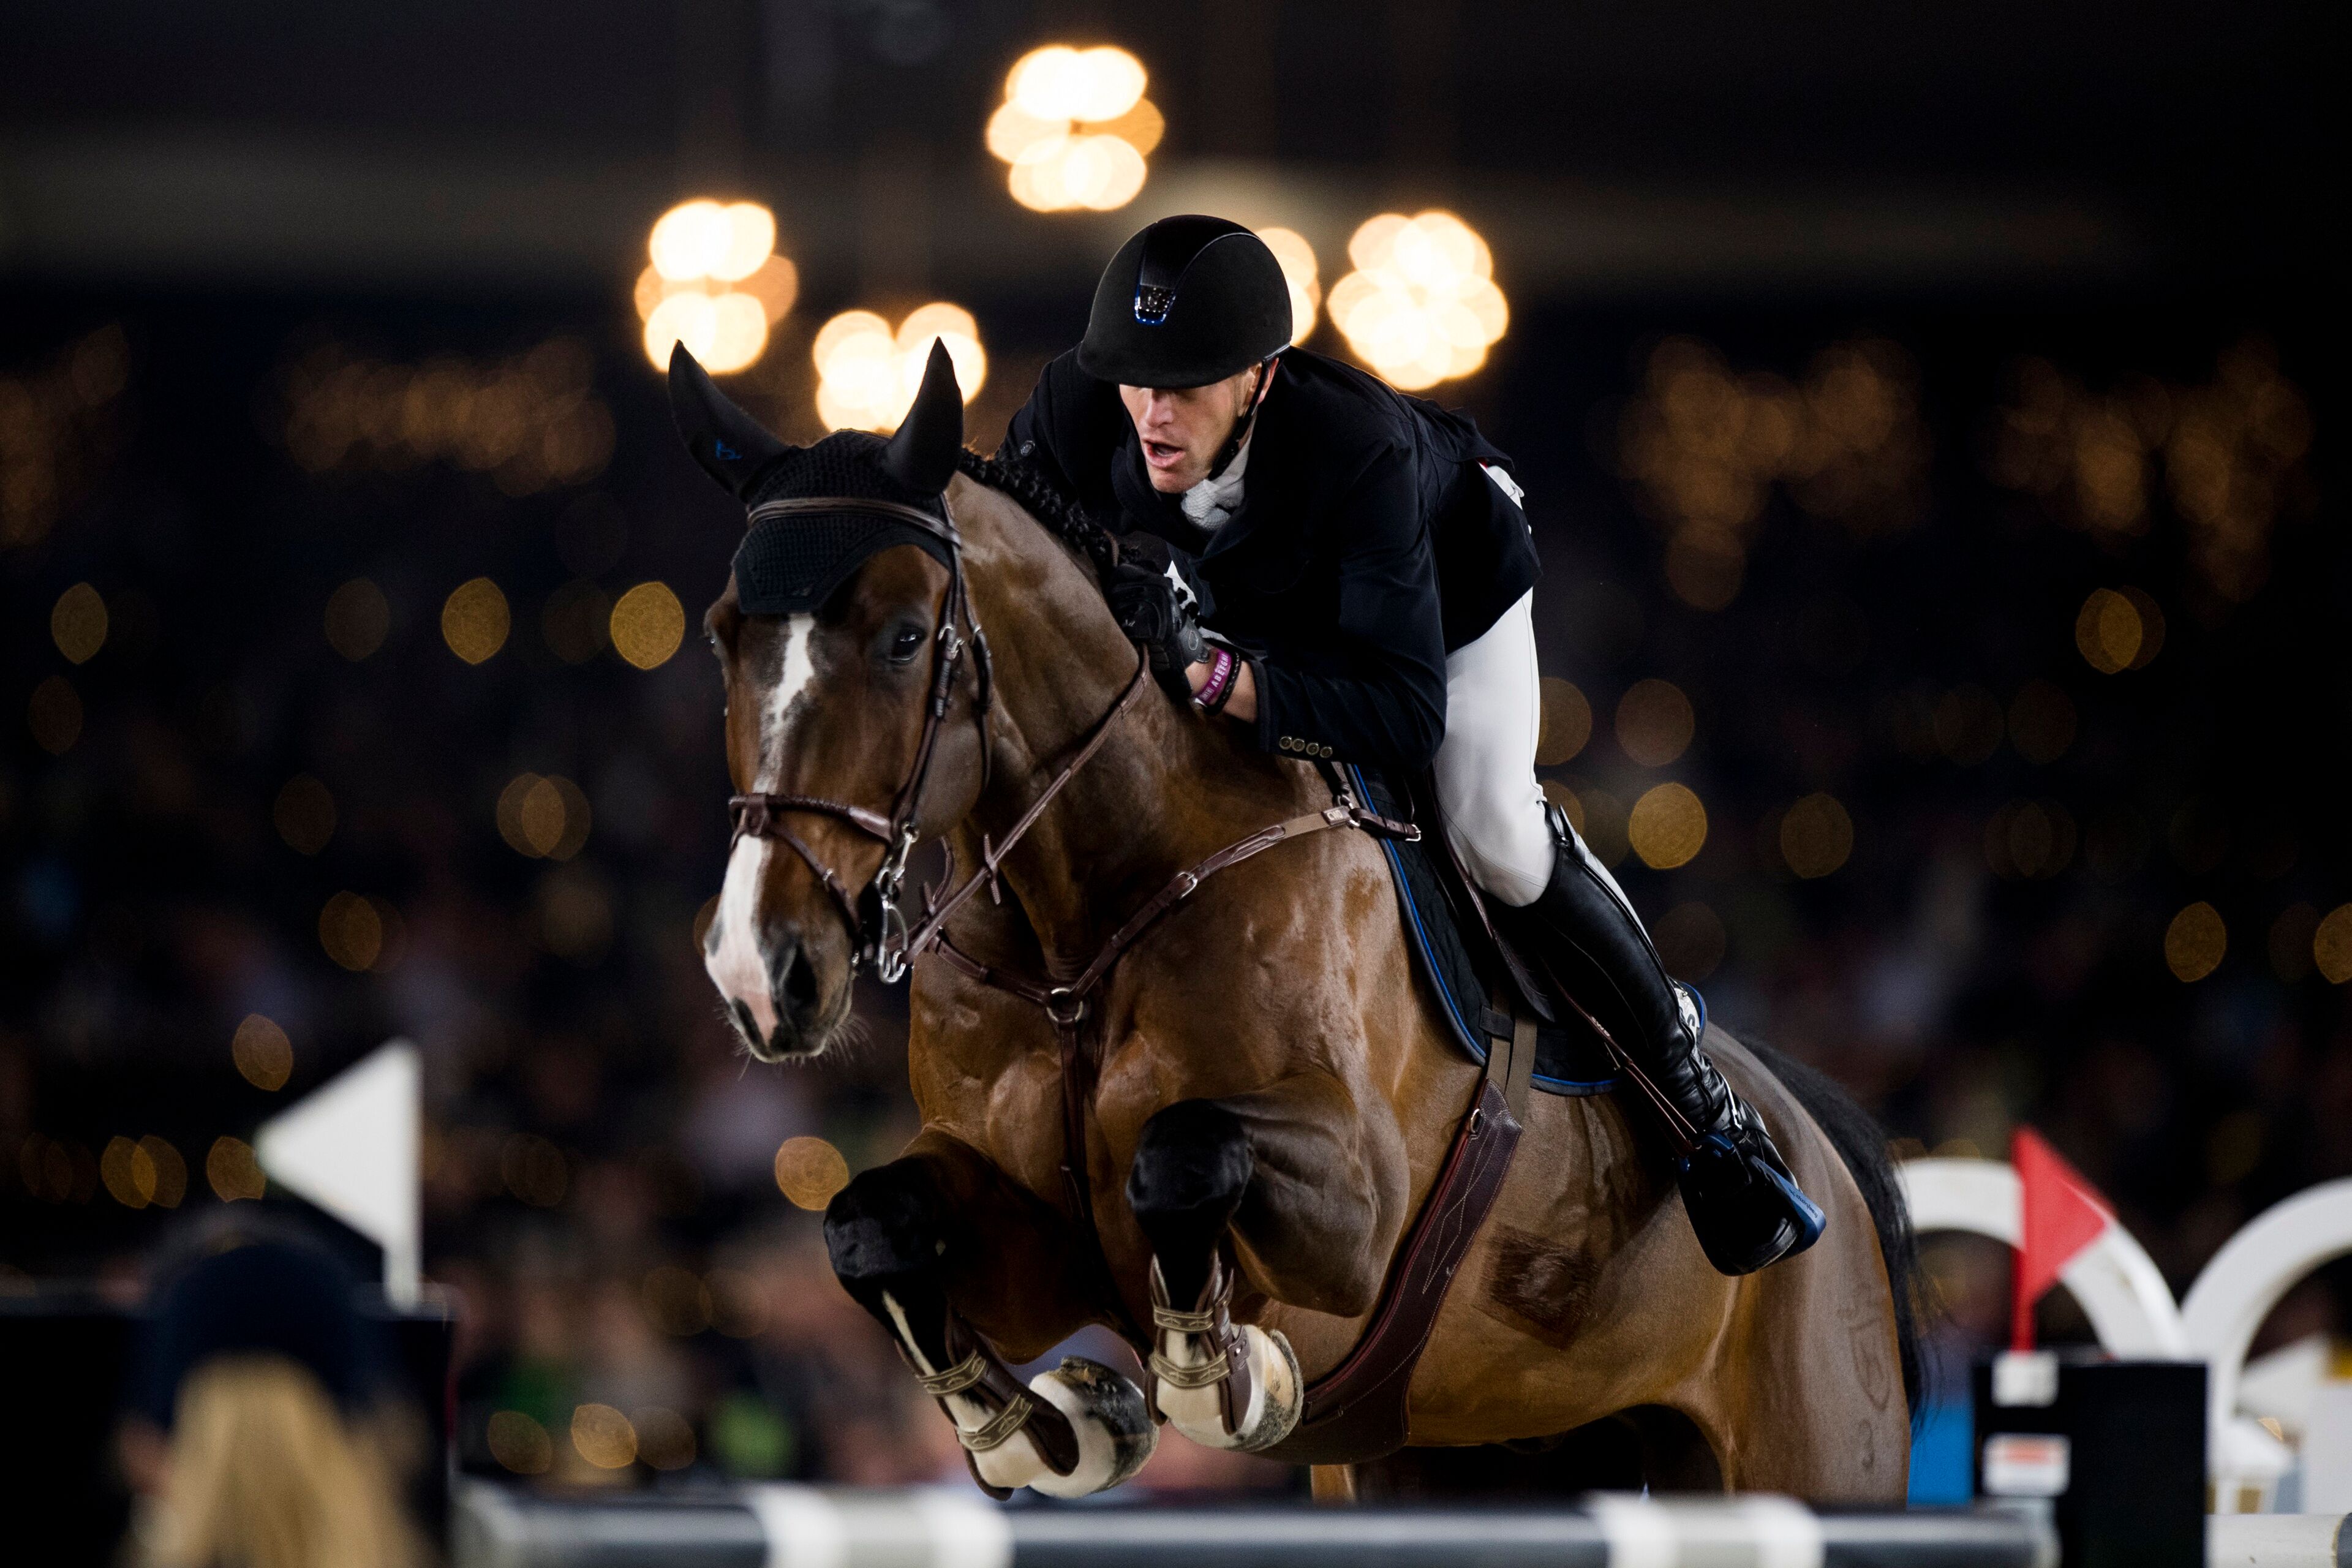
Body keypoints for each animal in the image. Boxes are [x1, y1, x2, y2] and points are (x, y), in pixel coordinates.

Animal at [678, 340, 1920, 1502]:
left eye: (901, 638)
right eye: (722, 635)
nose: (761, 973)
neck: (1085, 928)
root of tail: (1819, 1143)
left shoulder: (1354, 1218)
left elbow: (1183, 1157)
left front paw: (1218, 1378)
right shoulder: (1031, 1234)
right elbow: (869, 1224)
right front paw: (1044, 1425)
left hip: (1808, 1443)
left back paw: (1736, 1166)